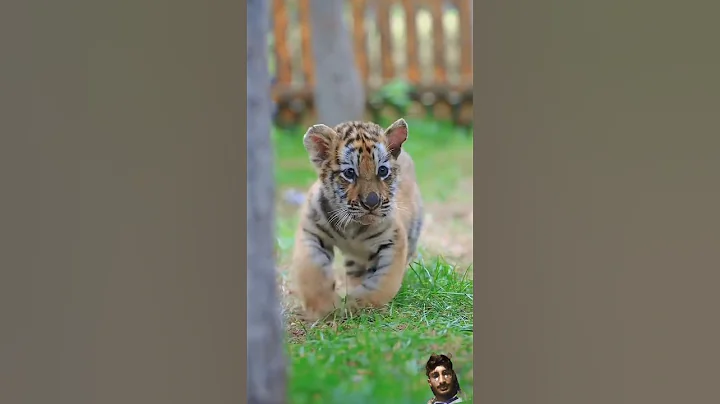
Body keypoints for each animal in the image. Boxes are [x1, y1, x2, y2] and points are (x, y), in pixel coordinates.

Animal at [288, 118, 424, 321]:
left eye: (382, 171)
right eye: (350, 173)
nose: (372, 203)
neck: (352, 227)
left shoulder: (394, 240)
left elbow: (383, 282)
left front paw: (359, 306)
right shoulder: (311, 231)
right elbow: (312, 270)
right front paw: (325, 308)